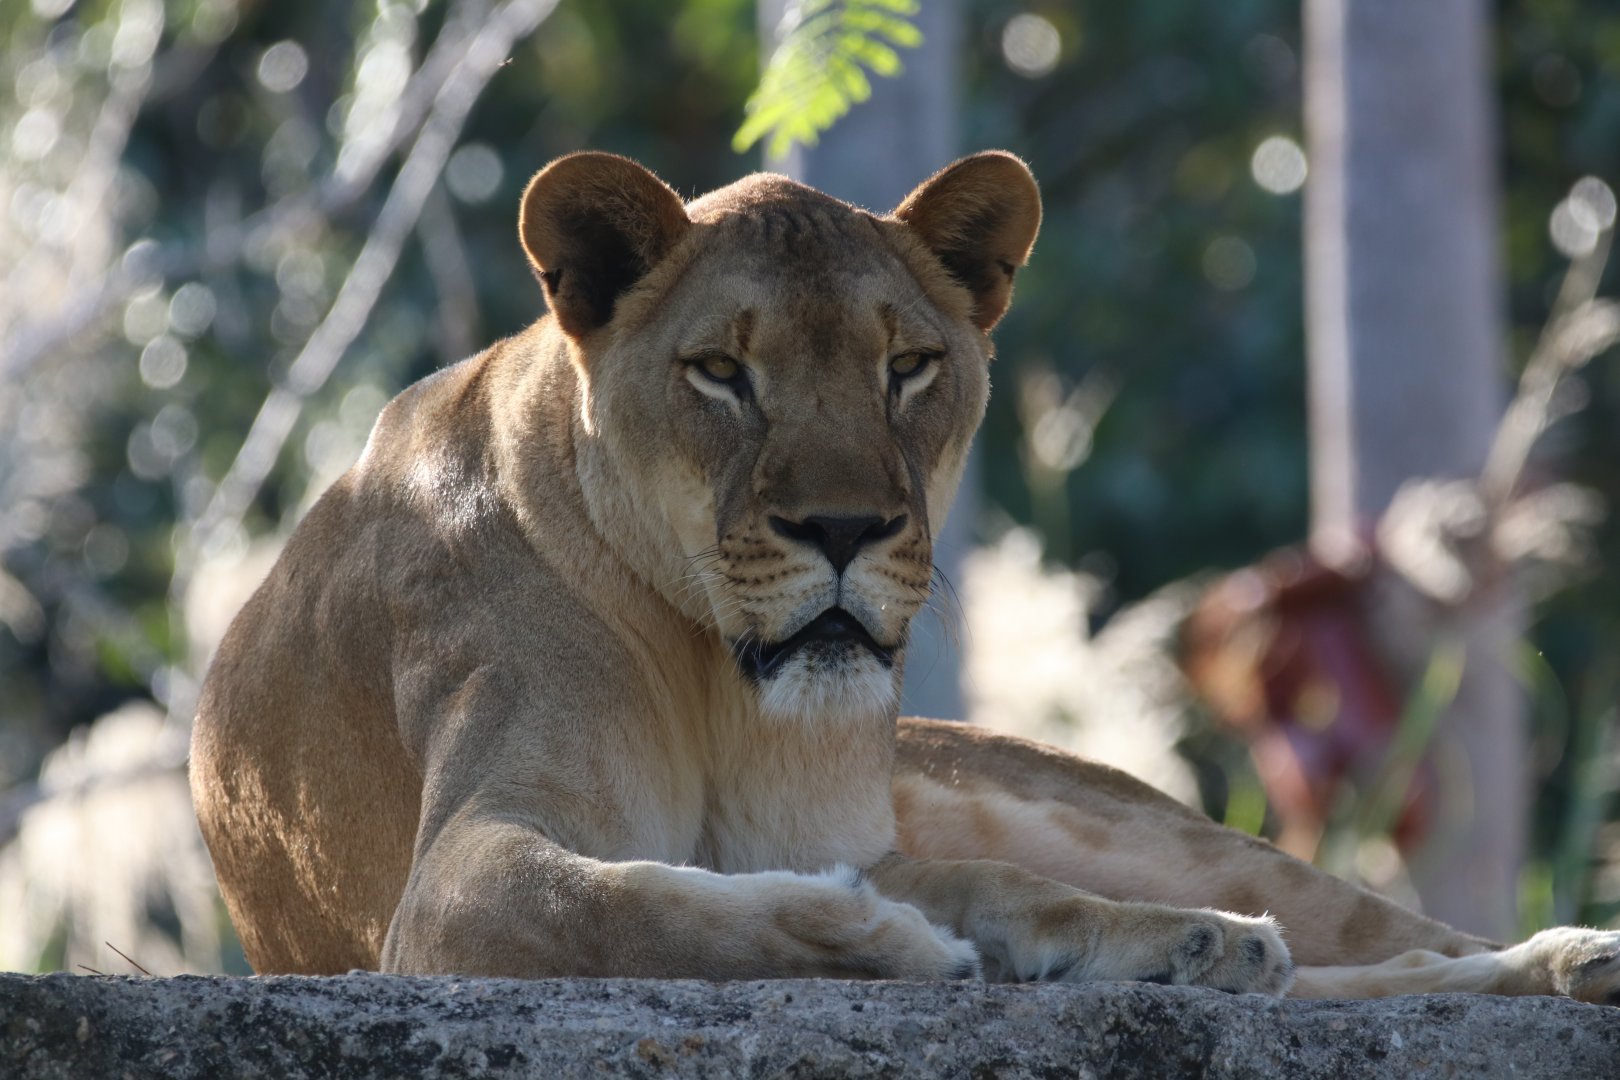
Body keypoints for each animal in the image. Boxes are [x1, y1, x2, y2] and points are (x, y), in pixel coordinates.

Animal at [190, 150, 1620, 1003]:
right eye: (723, 372)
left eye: (909, 367)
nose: (845, 528)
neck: (719, 681)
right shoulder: (451, 891)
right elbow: (631, 907)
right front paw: (888, 942)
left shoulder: (859, 837)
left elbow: (988, 888)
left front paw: (1138, 941)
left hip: (1138, 823)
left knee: (1381, 942)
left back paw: (1547, 958)